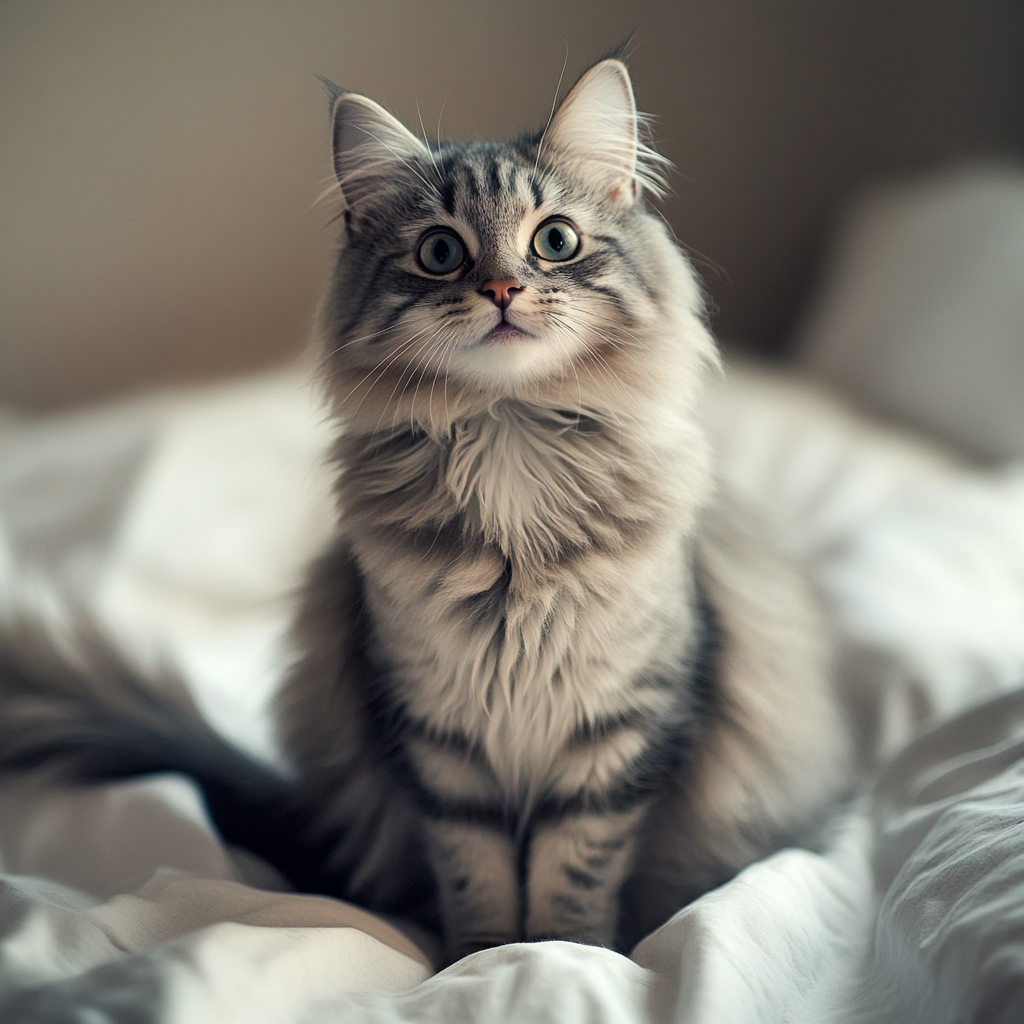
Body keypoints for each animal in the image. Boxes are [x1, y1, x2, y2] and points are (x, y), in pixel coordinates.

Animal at [0, 56, 847, 962]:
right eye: (441, 252)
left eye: (554, 240)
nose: (503, 288)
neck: (511, 446)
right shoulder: (439, 740)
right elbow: (476, 870)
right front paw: (483, 957)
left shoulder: (620, 733)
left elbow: (574, 871)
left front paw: (565, 956)